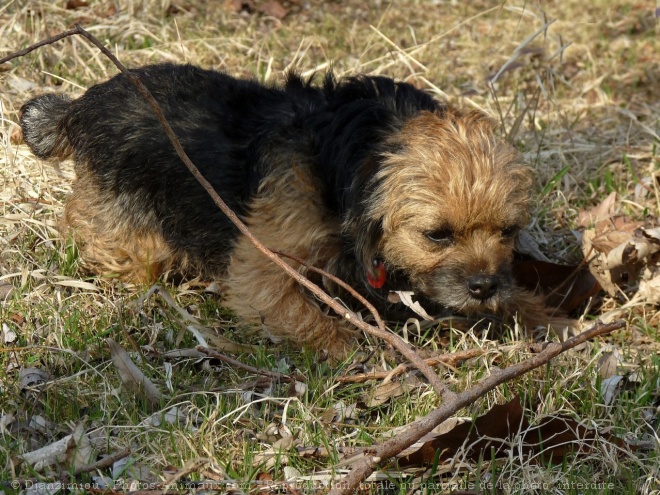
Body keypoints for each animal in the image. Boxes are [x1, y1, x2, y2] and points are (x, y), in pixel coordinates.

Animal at [19, 64, 564, 358]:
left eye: (508, 231)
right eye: (437, 235)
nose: (485, 286)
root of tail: (79, 106)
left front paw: (545, 318)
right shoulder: (261, 268)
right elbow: (303, 315)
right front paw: (358, 351)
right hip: (130, 237)